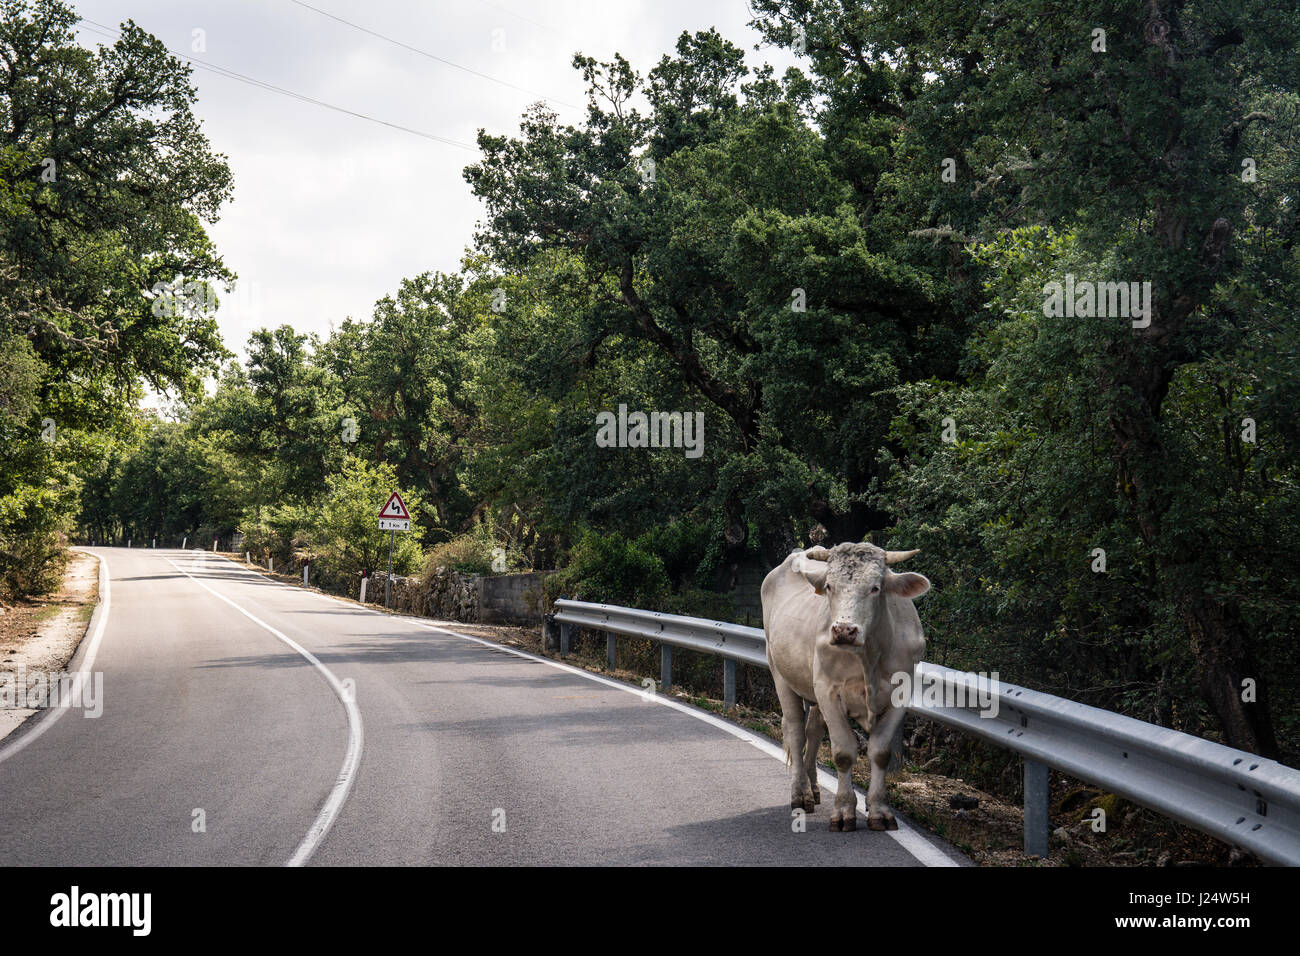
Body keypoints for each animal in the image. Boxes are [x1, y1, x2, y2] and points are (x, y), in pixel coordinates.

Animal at [759, 546, 930, 832]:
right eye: (829, 586)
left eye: (875, 588)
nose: (844, 630)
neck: (869, 656)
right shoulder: (828, 691)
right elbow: (843, 753)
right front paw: (843, 811)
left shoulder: (901, 693)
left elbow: (880, 752)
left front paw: (879, 810)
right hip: (779, 673)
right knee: (795, 731)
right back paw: (800, 794)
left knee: (813, 730)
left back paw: (814, 787)